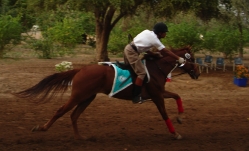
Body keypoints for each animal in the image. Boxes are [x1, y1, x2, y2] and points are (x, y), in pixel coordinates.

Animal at [14, 45, 200, 139]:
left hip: (88, 97)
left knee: (74, 115)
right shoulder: (156, 96)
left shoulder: (160, 92)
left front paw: (180, 117)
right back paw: (41, 128)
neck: (157, 68)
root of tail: (80, 70)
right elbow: (164, 113)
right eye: (193, 58)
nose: (198, 73)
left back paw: (80, 137)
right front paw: (175, 133)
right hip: (78, 96)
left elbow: (177, 96)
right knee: (61, 111)